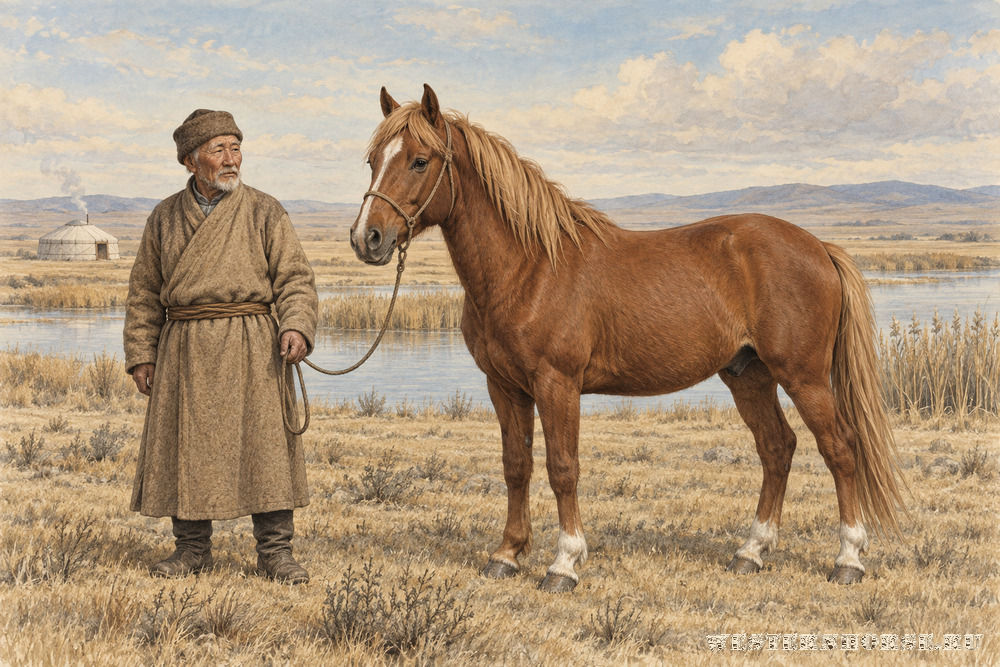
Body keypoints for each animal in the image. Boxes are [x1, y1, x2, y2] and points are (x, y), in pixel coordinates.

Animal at [349, 84, 906, 592]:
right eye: (373, 160)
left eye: (420, 161)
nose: (366, 238)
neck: (530, 267)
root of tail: (819, 246)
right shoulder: (504, 386)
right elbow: (516, 466)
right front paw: (507, 554)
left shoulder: (557, 384)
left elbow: (562, 468)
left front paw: (564, 564)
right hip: (749, 376)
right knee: (777, 448)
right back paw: (751, 551)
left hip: (803, 376)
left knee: (840, 448)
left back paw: (848, 559)